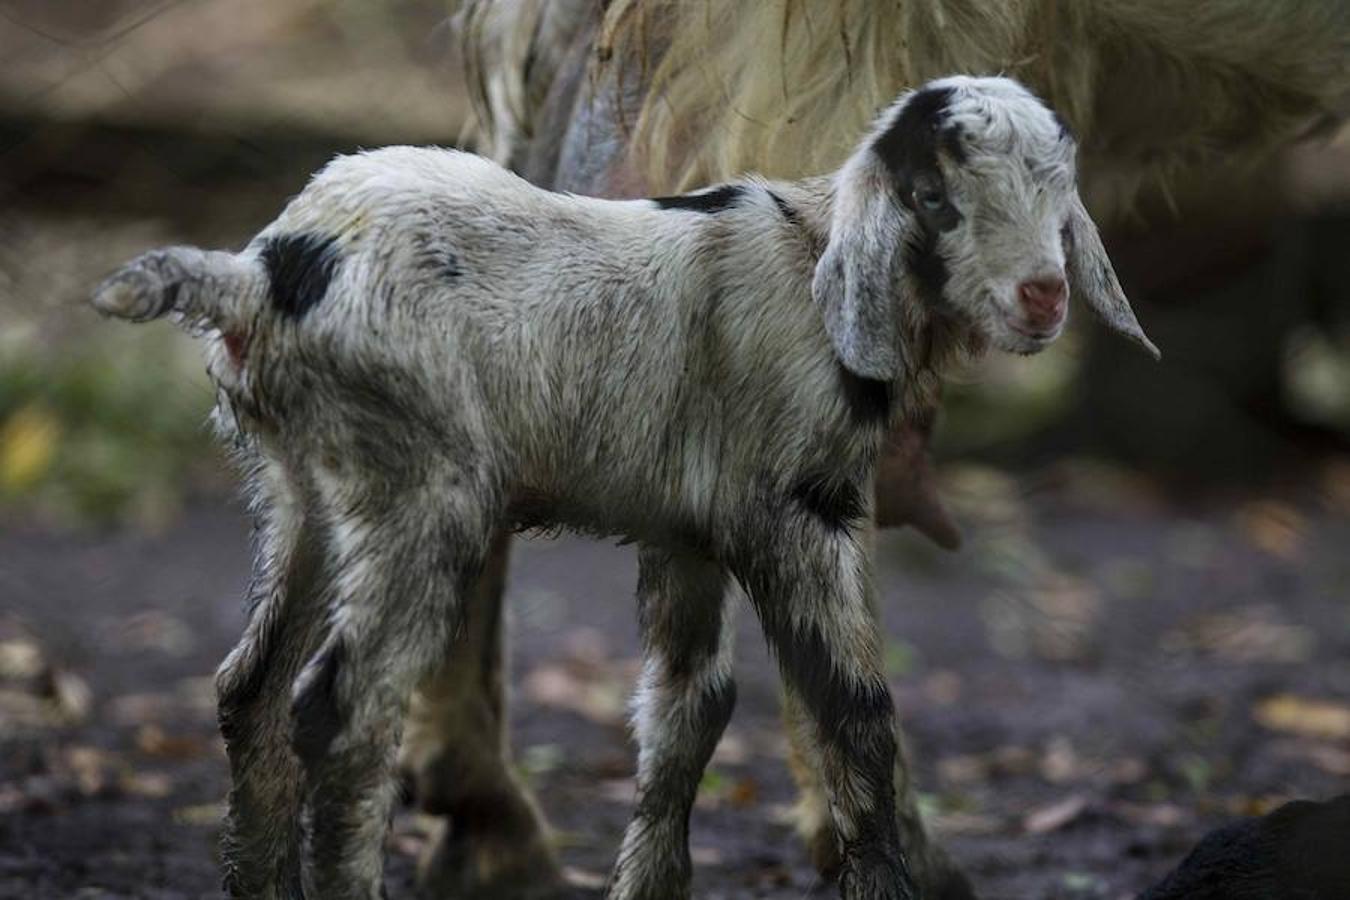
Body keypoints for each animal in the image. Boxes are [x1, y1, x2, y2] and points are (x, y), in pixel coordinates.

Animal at [92, 77, 1150, 900]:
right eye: (932, 197)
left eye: (1058, 190)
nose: (1044, 297)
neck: (814, 258)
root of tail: (260, 275)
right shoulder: (796, 510)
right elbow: (852, 713)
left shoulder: (687, 529)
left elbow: (690, 710)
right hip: (415, 487)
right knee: (346, 715)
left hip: (300, 487)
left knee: (252, 696)